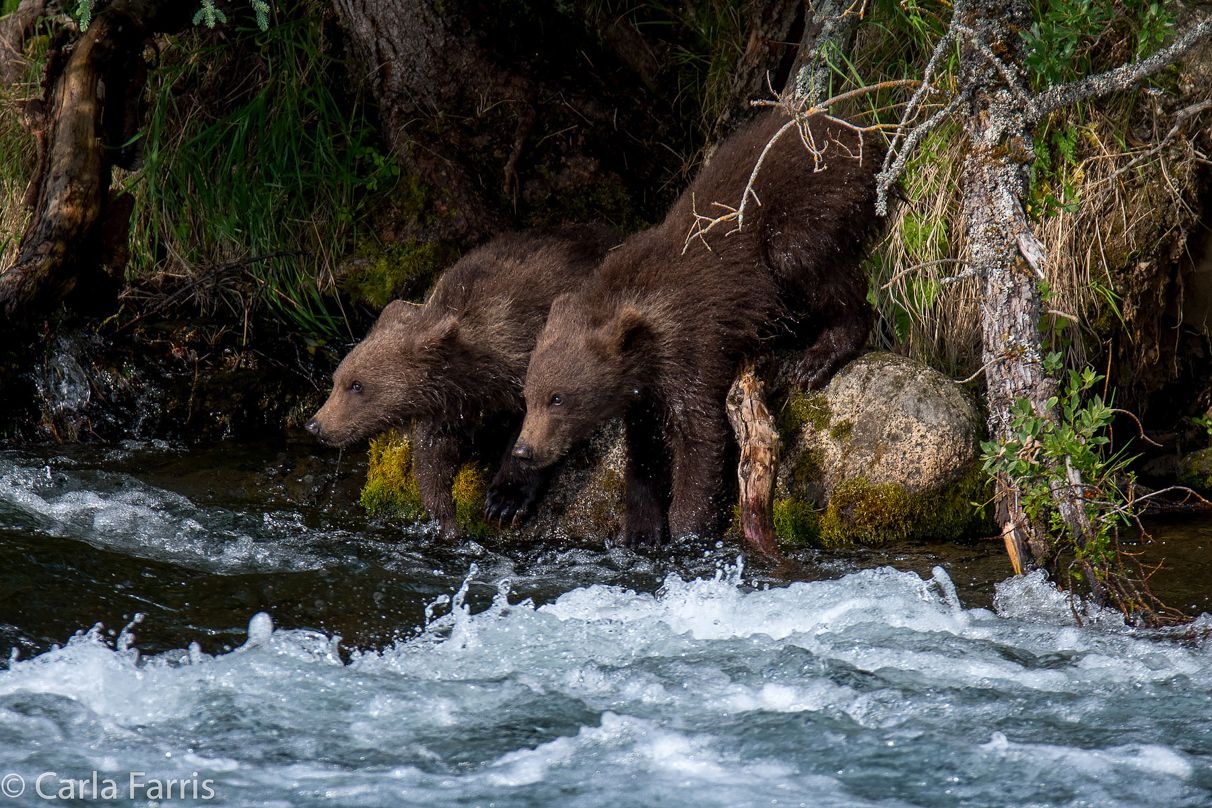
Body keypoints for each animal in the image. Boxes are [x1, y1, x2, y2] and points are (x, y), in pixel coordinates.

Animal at [305, 226, 615, 537]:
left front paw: (504, 501)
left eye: (357, 385)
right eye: (336, 380)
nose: (316, 425)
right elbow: (432, 457)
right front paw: (446, 517)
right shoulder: (448, 406)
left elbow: (541, 424)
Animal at [496, 110, 887, 547]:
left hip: (812, 204)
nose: (524, 450)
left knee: (808, 260)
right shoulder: (643, 391)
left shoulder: (693, 348)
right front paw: (639, 529)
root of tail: (867, 138)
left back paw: (817, 359)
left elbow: (700, 438)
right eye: (528, 396)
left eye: (558, 398)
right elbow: (645, 453)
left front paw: (688, 529)